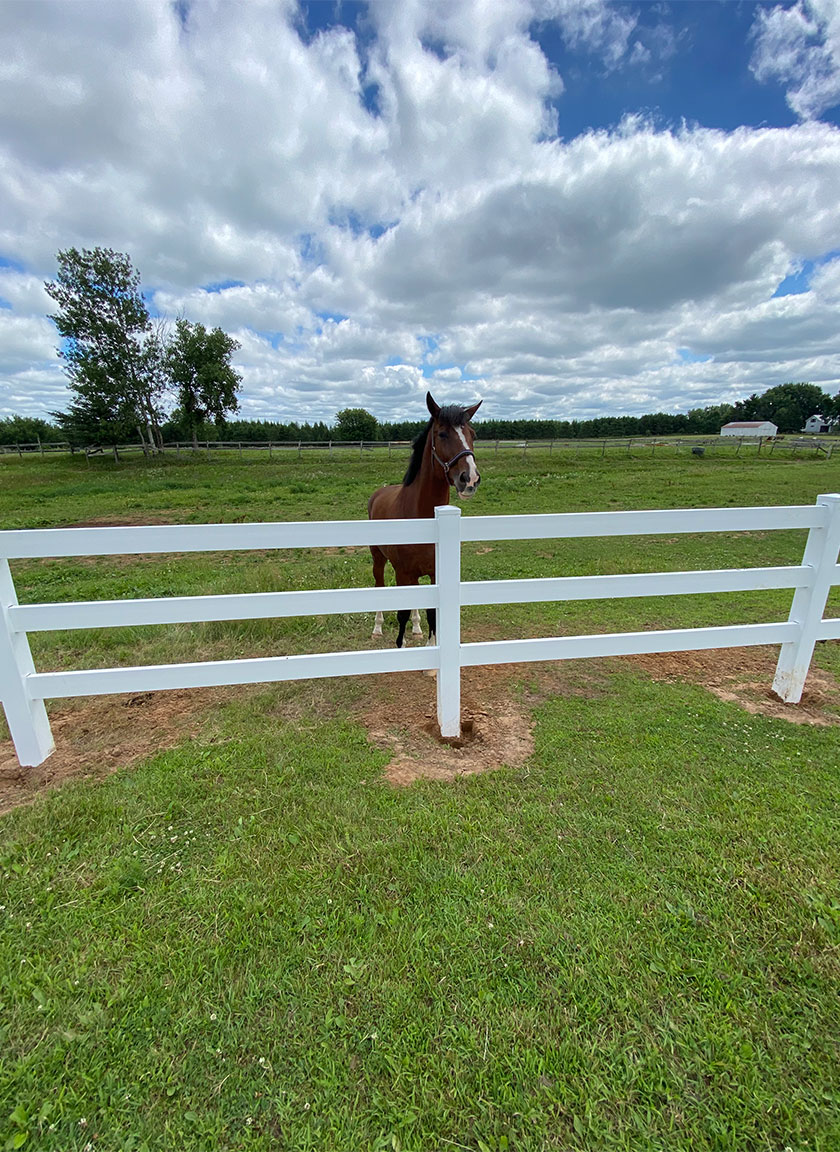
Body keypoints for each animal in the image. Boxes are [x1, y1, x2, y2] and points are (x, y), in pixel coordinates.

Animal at [366, 391, 479, 649]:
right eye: (442, 433)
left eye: (472, 434)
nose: (470, 479)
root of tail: (378, 493)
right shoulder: (402, 572)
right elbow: (402, 613)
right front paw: (401, 645)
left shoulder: (434, 573)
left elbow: (432, 613)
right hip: (378, 557)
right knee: (379, 584)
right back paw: (377, 628)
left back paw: (417, 629)